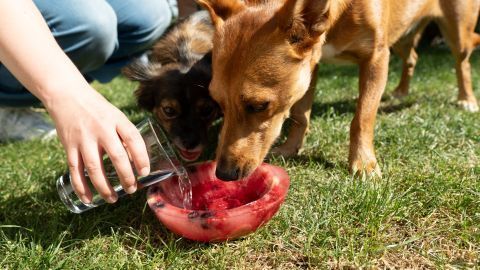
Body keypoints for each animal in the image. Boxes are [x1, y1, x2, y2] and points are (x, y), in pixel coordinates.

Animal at [197, 0, 478, 181]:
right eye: (217, 103)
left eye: (259, 106)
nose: (223, 174)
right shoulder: (311, 65)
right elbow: (300, 115)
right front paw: (290, 148)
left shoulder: (376, 58)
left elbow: (362, 118)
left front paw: (363, 163)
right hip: (401, 35)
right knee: (412, 56)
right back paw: (400, 91)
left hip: (456, 34)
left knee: (462, 62)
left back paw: (466, 99)